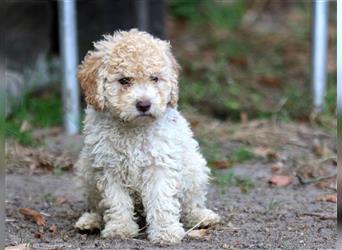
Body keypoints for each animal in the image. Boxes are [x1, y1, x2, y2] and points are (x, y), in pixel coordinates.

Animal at [73, 29, 220, 244]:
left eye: (154, 78)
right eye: (124, 80)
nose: (144, 104)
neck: (134, 128)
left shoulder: (159, 163)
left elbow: (161, 200)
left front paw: (165, 232)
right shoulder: (108, 166)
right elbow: (115, 200)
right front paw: (120, 228)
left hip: (194, 169)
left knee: (191, 202)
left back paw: (201, 217)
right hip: (86, 171)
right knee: (97, 206)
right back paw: (91, 221)